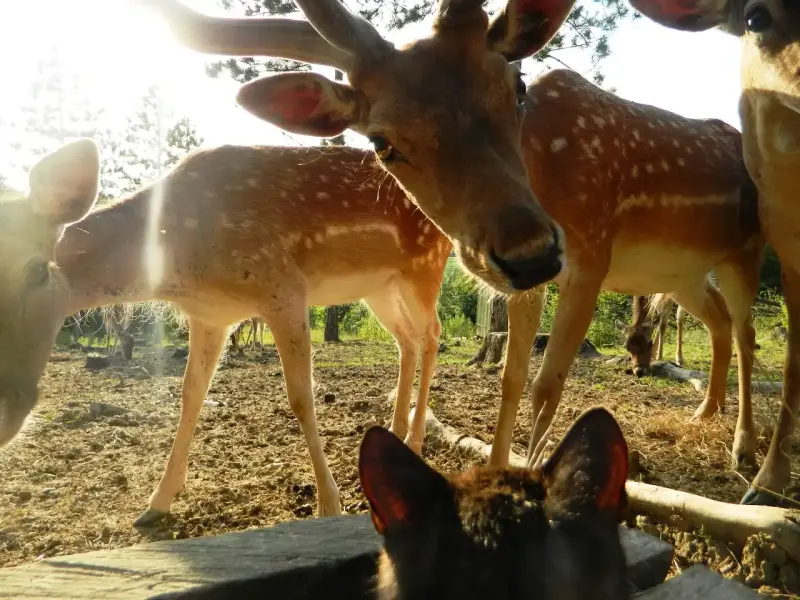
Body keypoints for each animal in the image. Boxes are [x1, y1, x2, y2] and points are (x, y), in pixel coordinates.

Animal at [0, 138, 450, 524]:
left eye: (38, 269)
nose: (5, 414)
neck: (180, 260)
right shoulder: (210, 314)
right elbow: (190, 394)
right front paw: (157, 503)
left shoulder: (282, 286)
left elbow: (301, 397)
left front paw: (329, 503)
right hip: (379, 287)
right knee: (406, 339)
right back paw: (395, 431)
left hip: (423, 266)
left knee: (432, 334)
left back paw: (415, 440)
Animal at [628, 0, 800, 506]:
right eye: (627, 344)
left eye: (639, 344)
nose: (638, 371)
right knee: (723, 322)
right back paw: (709, 410)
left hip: (742, 254)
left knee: (742, 331)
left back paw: (742, 444)